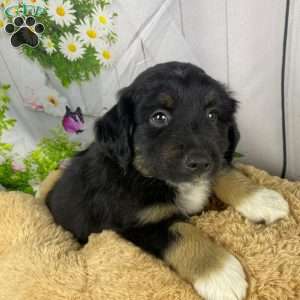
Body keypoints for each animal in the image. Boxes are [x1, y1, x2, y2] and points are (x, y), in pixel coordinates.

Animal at [46, 62, 288, 298]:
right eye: (159, 117)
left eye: (212, 115)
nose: (200, 162)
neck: (148, 176)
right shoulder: (140, 222)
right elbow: (183, 233)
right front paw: (220, 275)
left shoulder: (215, 160)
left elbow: (223, 171)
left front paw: (262, 199)